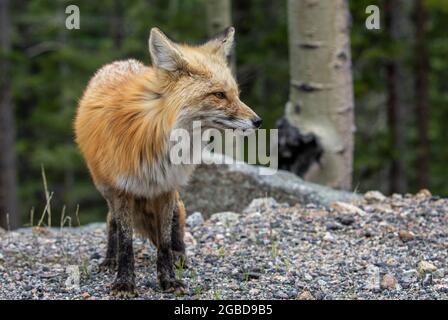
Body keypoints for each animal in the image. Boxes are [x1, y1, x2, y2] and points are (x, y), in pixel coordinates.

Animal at [74, 26, 262, 296]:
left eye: (236, 94)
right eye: (219, 95)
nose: (258, 121)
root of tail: (117, 63)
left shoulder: (166, 186)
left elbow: (163, 242)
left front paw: (169, 280)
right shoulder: (122, 189)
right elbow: (126, 242)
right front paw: (125, 282)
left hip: (173, 200)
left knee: (176, 226)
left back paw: (180, 257)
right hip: (107, 190)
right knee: (112, 221)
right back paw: (110, 259)